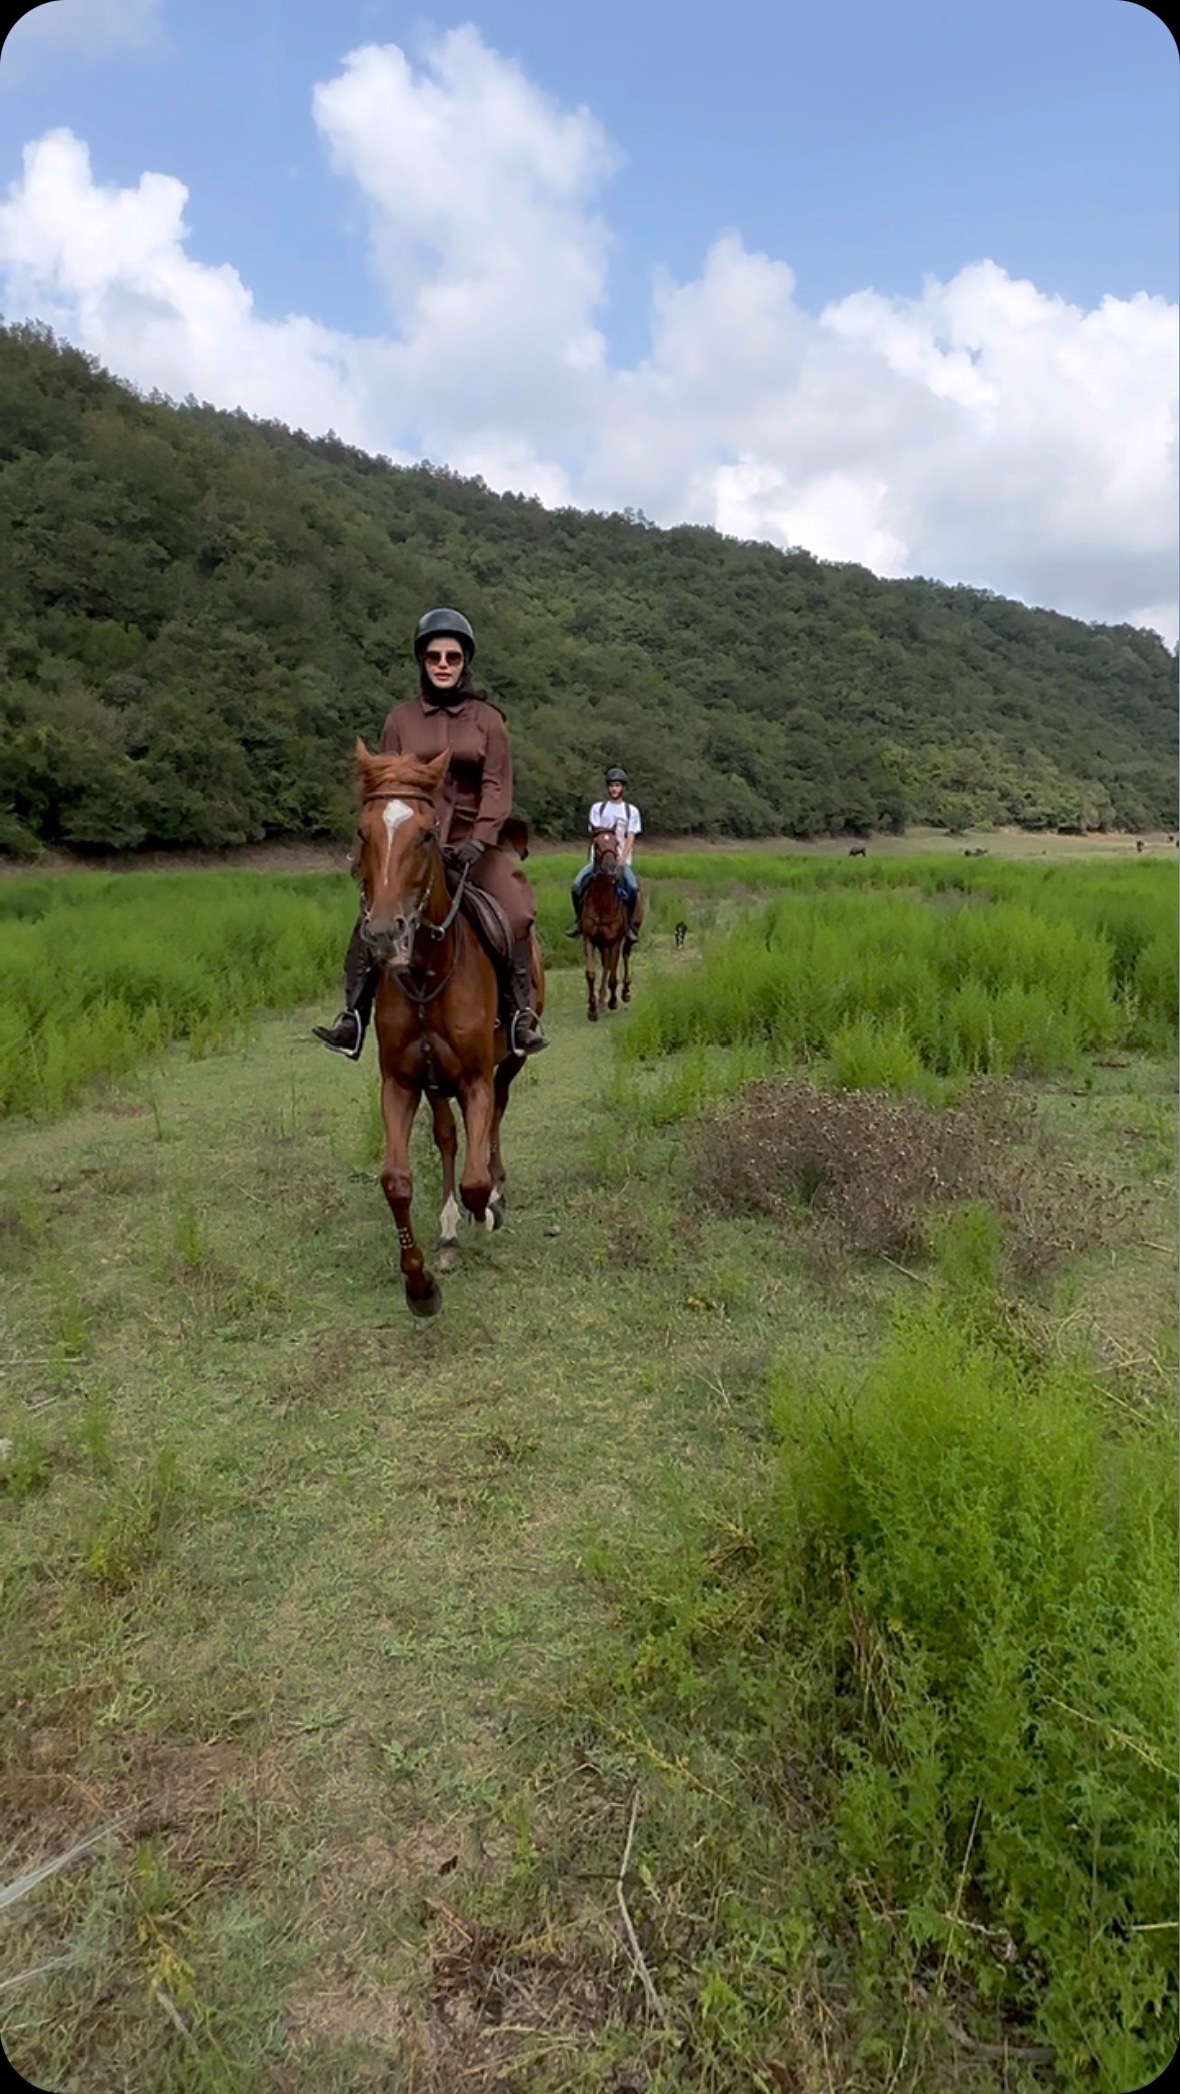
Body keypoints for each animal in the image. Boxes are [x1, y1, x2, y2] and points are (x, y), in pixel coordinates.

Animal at [353, 745, 548, 1315]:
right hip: (435, 1082)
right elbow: (397, 1181)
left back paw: (492, 1201)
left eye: (425, 834)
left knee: (497, 1117)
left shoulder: (477, 1079)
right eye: (363, 833)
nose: (384, 932)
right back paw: (446, 1230)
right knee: (446, 1136)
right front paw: (420, 1284)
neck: (428, 972)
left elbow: (477, 1179)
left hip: (510, 1062)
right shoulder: (400, 1083)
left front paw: (486, 1212)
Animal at [577, 837, 640, 1026]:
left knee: (624, 957)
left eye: (616, 843)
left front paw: (613, 1002)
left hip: (627, 939)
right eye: (596, 845)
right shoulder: (589, 939)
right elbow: (591, 974)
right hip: (602, 943)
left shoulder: (614, 941)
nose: (612, 868)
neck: (602, 902)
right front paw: (592, 1009)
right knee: (606, 966)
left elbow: (613, 975)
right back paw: (602, 1000)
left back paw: (624, 993)